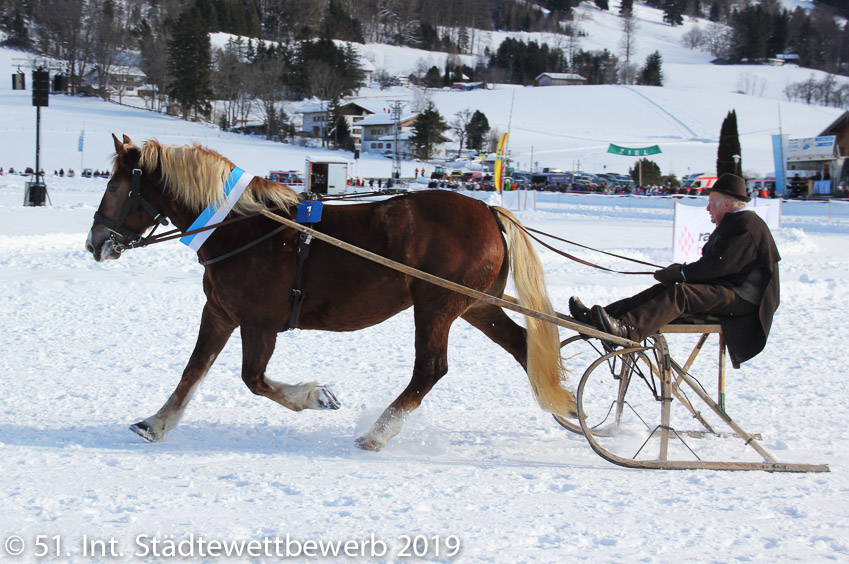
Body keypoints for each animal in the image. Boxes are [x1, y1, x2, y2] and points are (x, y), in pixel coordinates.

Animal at [86, 134, 576, 452]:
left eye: (113, 185)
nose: (94, 242)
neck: (241, 227)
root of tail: (489, 211)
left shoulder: (259, 323)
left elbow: (254, 379)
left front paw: (316, 396)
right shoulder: (221, 312)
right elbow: (192, 371)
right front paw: (156, 422)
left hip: (436, 305)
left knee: (430, 369)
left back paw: (378, 433)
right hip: (474, 305)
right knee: (523, 347)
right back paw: (571, 408)